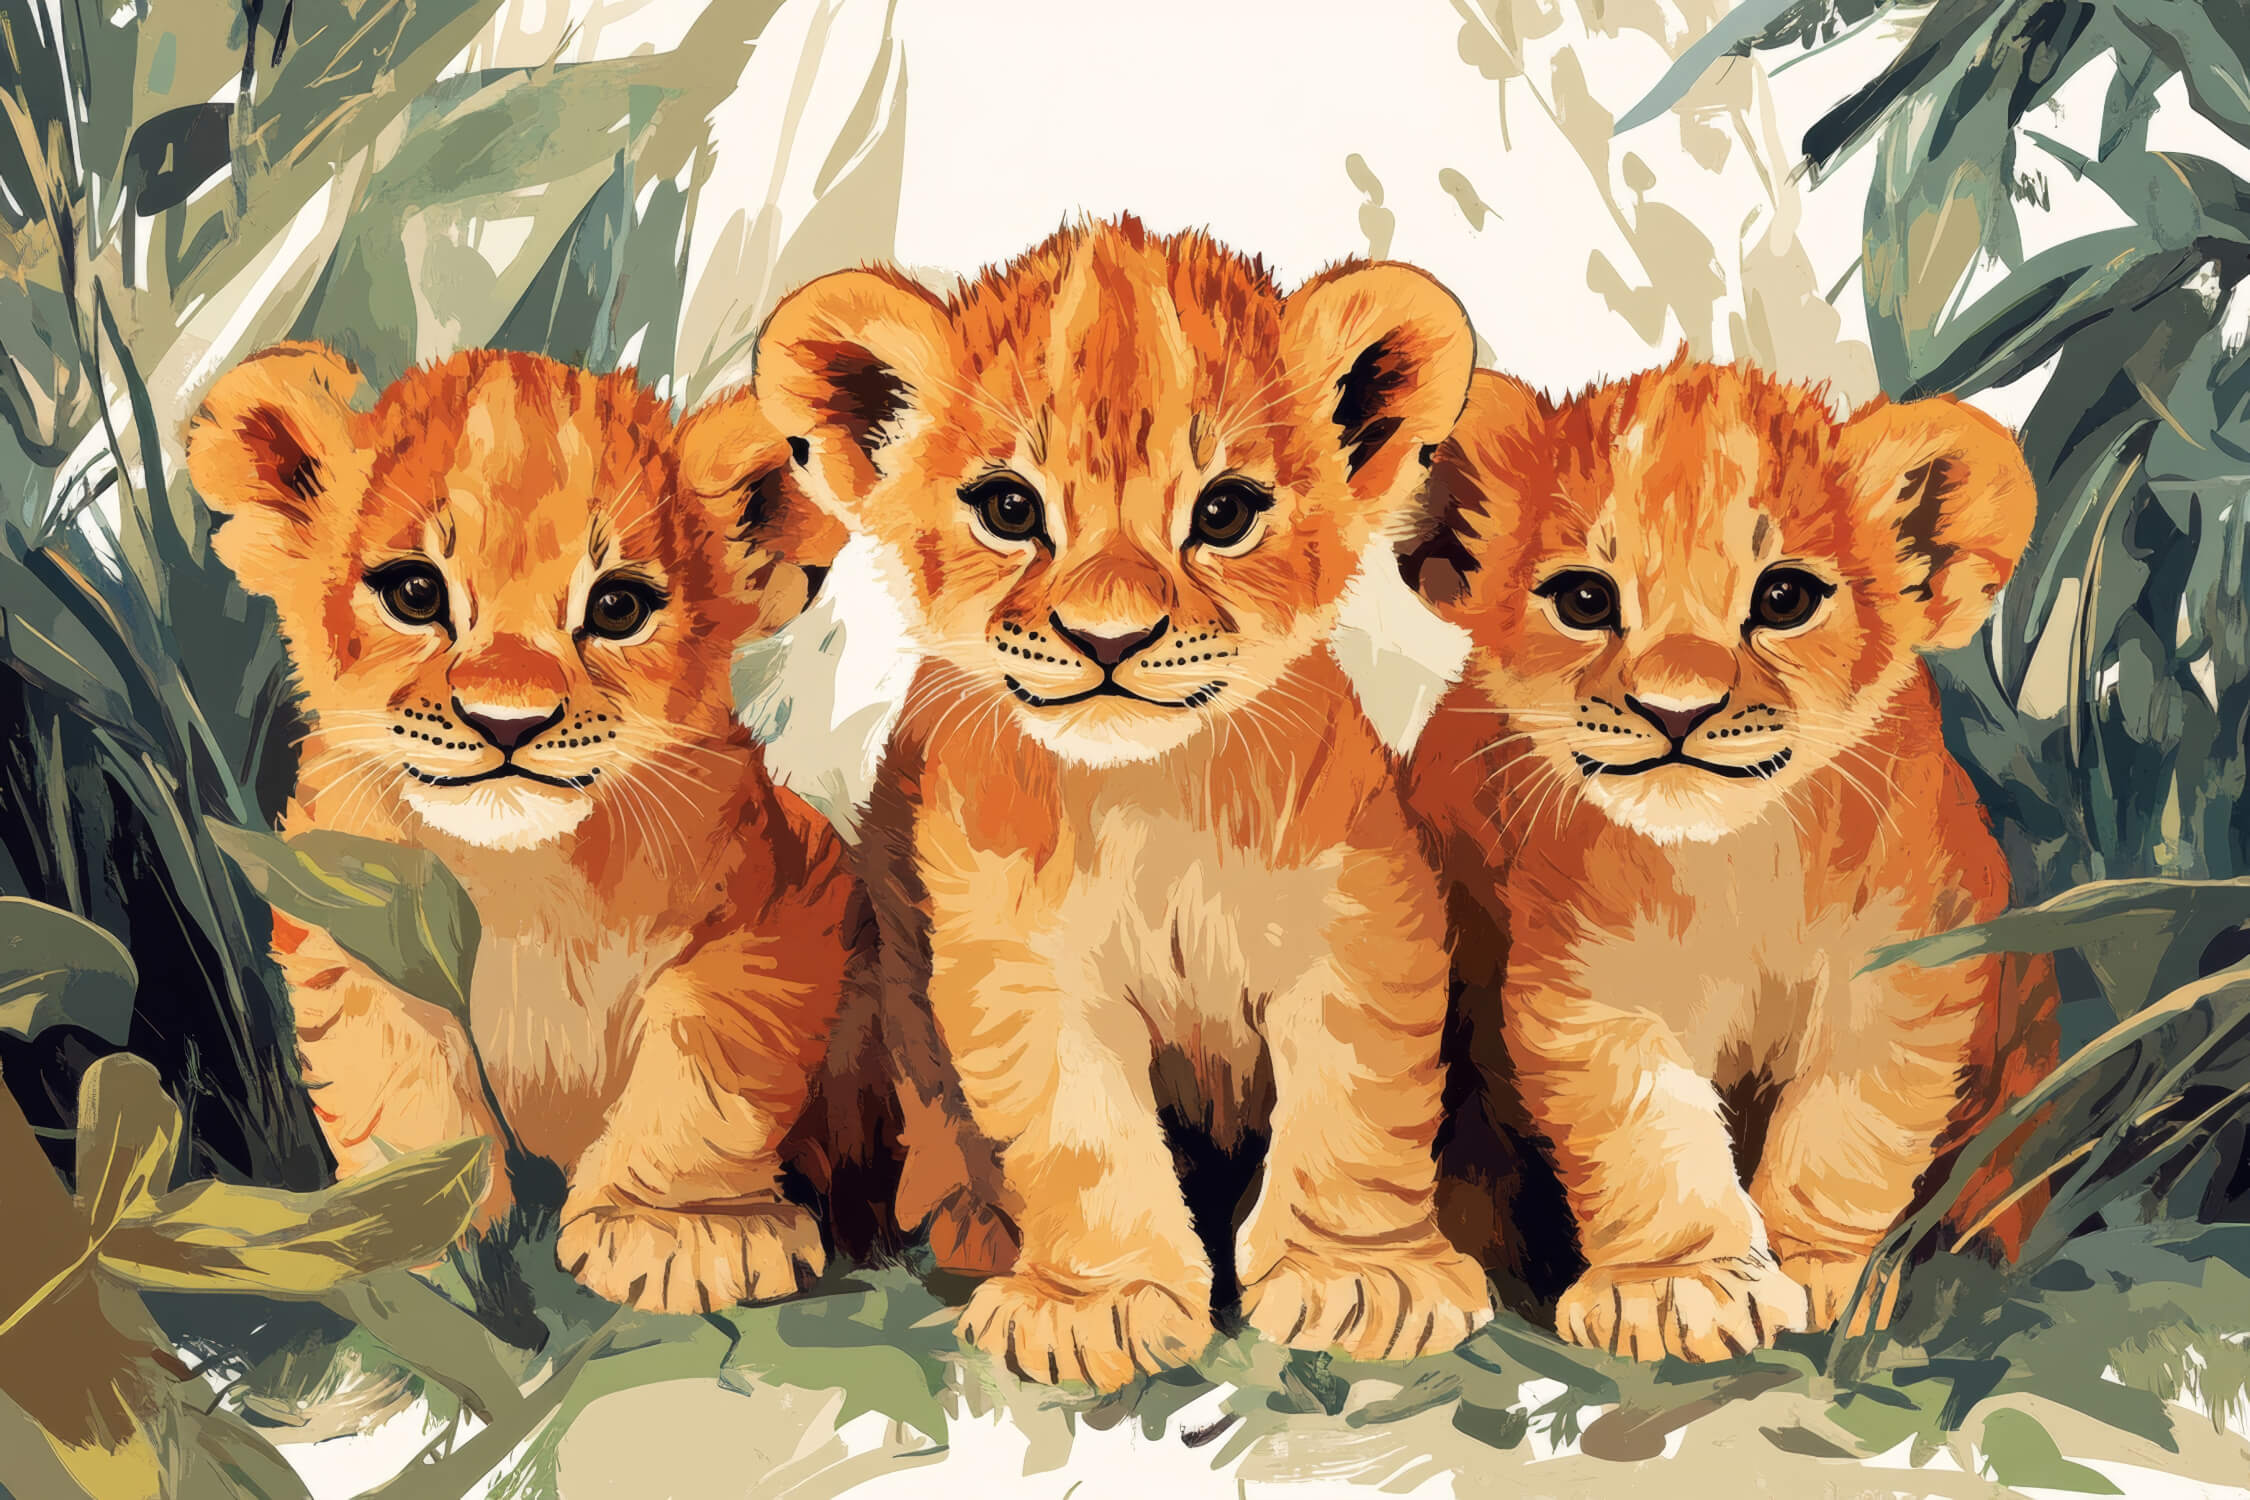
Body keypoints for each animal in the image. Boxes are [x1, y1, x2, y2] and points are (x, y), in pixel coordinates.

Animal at [184, 345, 870, 1313]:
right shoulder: (352, 923)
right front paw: (411, 1230)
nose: (506, 721)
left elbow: (703, 1064)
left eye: (618, 608)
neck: (523, 882)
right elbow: (401, 1073)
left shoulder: (783, 903)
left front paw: (679, 1230)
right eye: (415, 593)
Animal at [751, 216, 1494, 1390]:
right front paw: (1096, 1306)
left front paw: (1362, 1279)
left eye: (1225, 513)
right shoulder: (1021, 967)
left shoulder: (1360, 914)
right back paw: (974, 1226)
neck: (1153, 795)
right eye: (1010, 509)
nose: (1111, 639)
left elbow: (1359, 1094)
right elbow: (1080, 1133)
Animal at [1402, 359, 2060, 1360]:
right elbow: (1647, 1134)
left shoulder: (1904, 961)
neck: (1736, 865)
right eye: (1585, 601)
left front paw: (1824, 1277)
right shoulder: (1592, 977)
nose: (1676, 710)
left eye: (1785, 599)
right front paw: (1677, 1292)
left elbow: (1848, 1124)